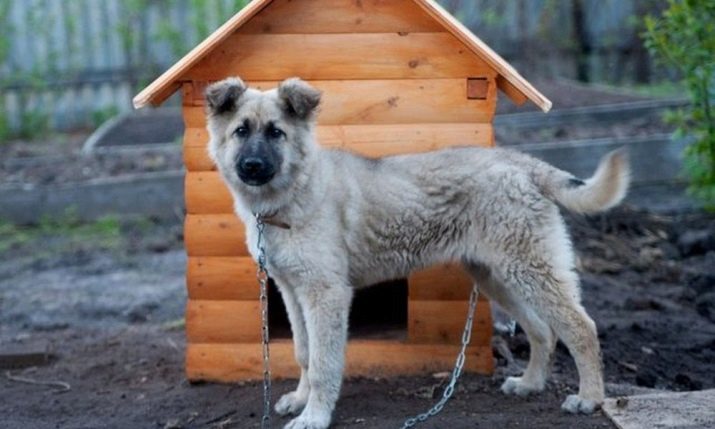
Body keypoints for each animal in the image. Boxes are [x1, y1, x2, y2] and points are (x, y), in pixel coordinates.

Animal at [204, 77, 628, 428]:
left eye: (276, 133)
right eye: (240, 131)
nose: (252, 165)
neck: (290, 196)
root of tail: (521, 162)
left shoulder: (326, 294)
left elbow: (324, 362)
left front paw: (315, 416)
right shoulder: (293, 292)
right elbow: (304, 353)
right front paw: (300, 399)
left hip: (529, 269)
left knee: (580, 327)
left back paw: (589, 399)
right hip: (498, 275)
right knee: (542, 329)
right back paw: (529, 384)